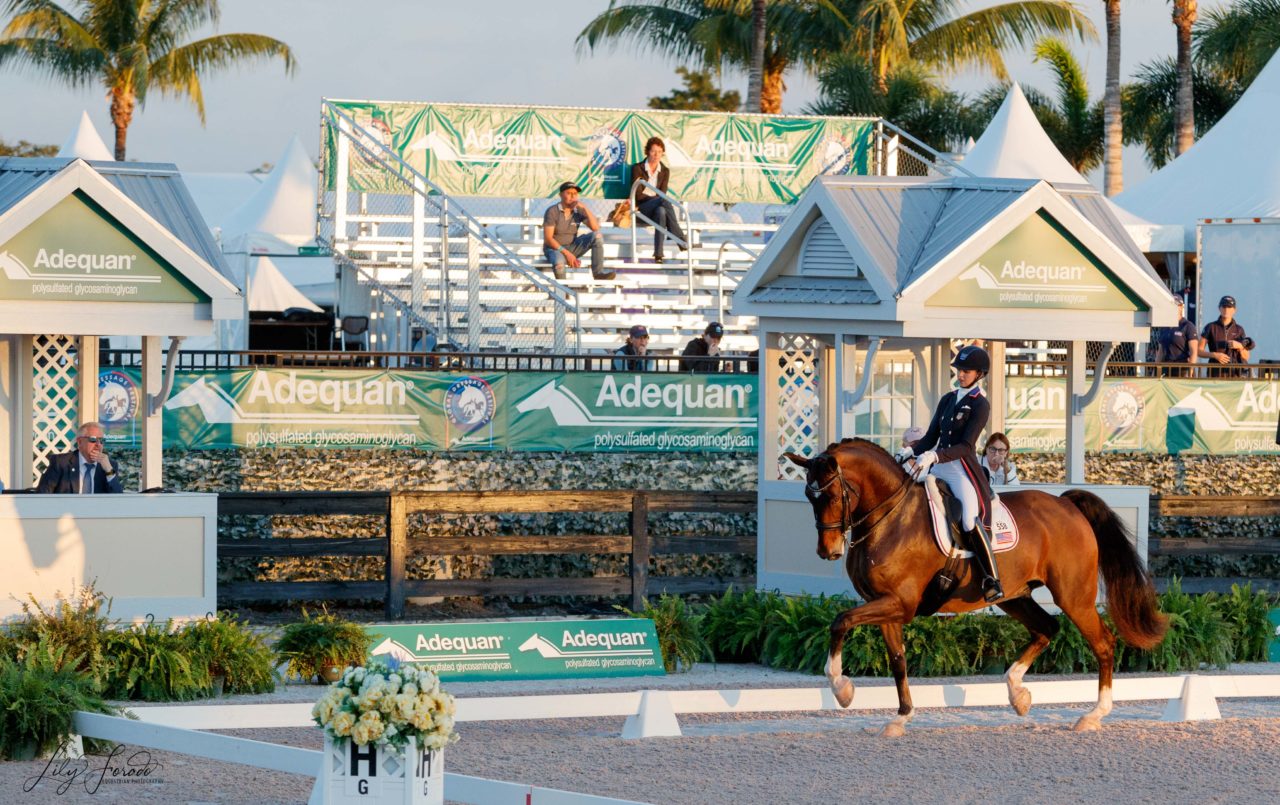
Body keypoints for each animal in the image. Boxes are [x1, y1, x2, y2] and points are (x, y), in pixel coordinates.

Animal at [783, 440, 1167, 737]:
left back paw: (1092, 715)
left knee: (1103, 643)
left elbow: (841, 622)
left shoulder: (899, 603)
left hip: (1074, 597)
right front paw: (900, 719)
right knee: (1047, 628)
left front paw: (842, 689)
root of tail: (1065, 504)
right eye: (808, 496)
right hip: (1016, 596)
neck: (891, 517)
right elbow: (898, 661)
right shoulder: (885, 605)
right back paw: (1018, 694)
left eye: (834, 494)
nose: (827, 551)